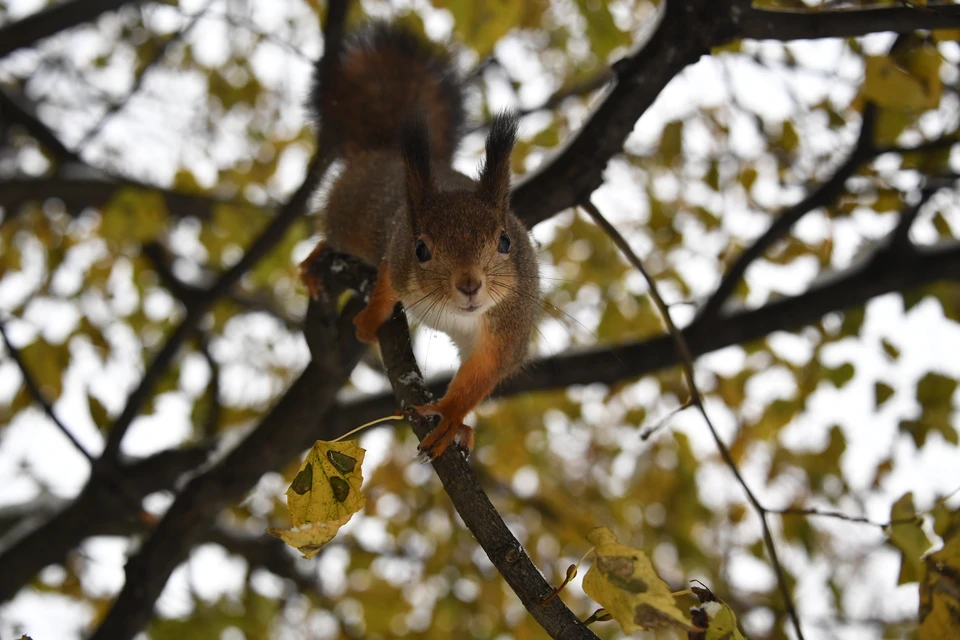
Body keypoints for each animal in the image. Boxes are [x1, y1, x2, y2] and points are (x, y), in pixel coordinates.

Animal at [300, 22, 540, 458]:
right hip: (348, 216)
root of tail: (381, 150)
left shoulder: (509, 329)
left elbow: (481, 376)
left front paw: (450, 418)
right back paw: (316, 259)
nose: (469, 284)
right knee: (334, 235)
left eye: (505, 242)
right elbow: (385, 284)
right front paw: (371, 319)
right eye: (422, 249)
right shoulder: (397, 257)